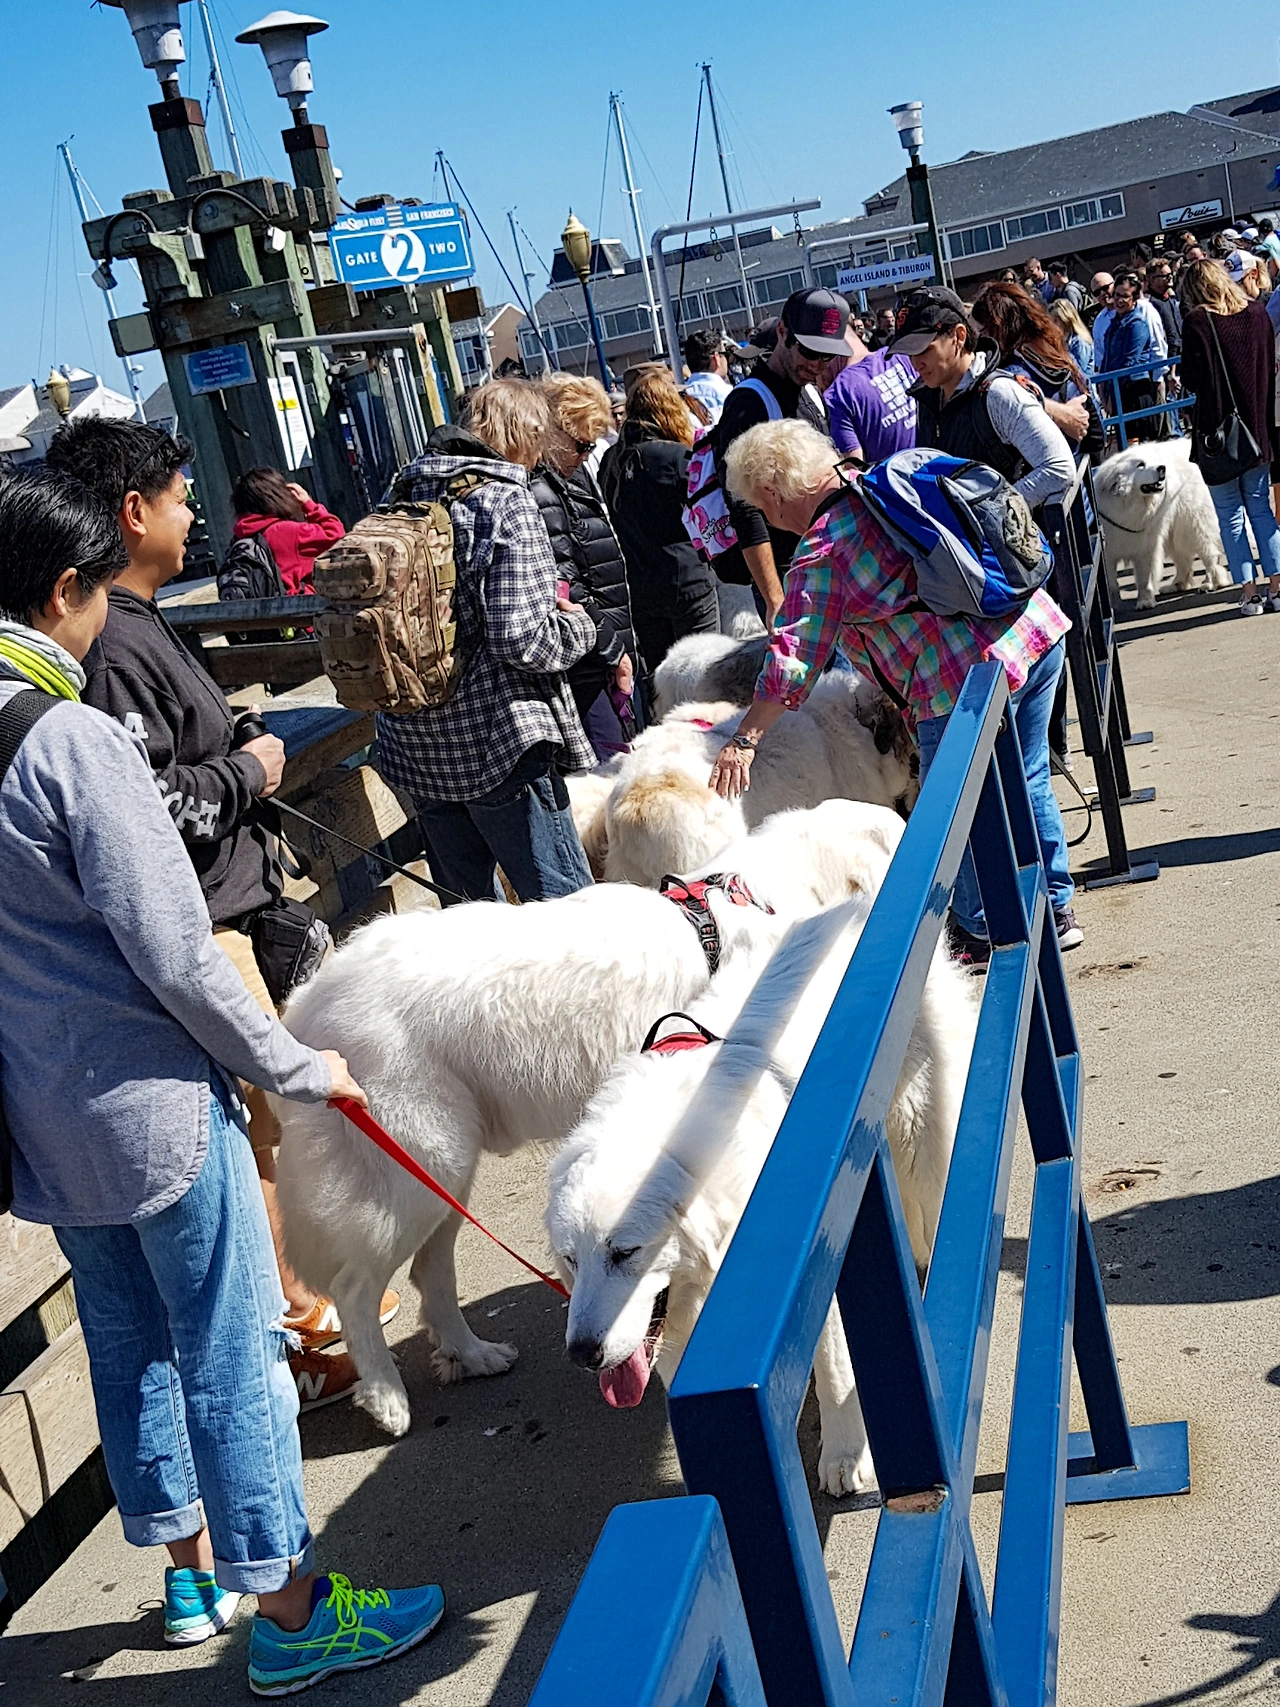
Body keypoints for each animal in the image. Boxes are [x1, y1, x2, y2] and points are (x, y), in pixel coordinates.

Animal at [273, 802, 890, 1438]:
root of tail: (304, 1005)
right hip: (414, 1167)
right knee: (355, 1288)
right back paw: (387, 1399)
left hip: (442, 1171)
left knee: (430, 1273)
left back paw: (473, 1355)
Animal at [547, 812, 977, 1496]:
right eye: (570, 1259)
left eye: (625, 1253)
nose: (582, 1353)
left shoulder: (809, 1271)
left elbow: (834, 1371)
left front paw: (845, 1457)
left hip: (918, 1134)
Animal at [1094, 440, 1229, 609]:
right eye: (1140, 465)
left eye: (1154, 461)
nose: (1162, 468)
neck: (1128, 506)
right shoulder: (1107, 553)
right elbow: (1111, 583)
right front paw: (1114, 605)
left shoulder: (1144, 547)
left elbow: (1144, 577)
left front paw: (1144, 601)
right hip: (1173, 532)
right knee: (1183, 559)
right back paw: (1177, 584)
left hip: (1194, 524)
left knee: (1208, 554)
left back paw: (1210, 583)